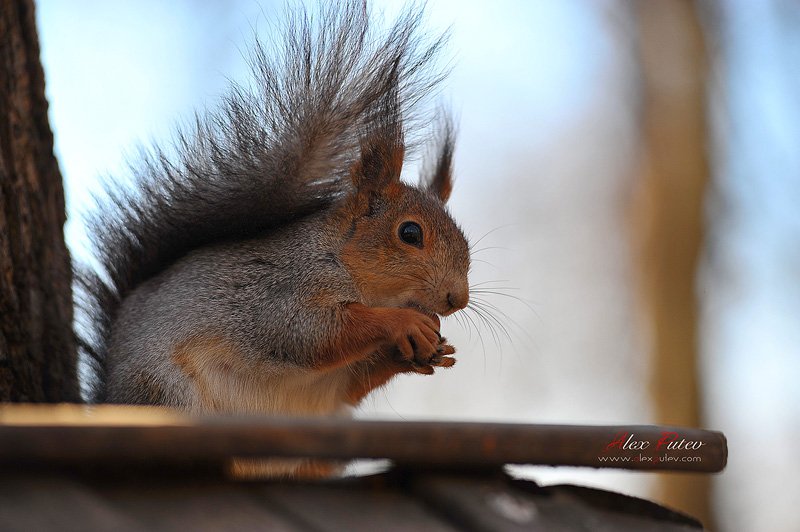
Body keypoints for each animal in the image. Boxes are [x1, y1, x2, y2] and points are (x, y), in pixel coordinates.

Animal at [75, 0, 468, 462]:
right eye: (409, 234)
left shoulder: (339, 381)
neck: (340, 256)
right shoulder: (280, 292)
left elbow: (352, 383)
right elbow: (311, 333)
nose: (458, 299)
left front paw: (424, 349)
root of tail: (109, 400)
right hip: (167, 394)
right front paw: (403, 322)